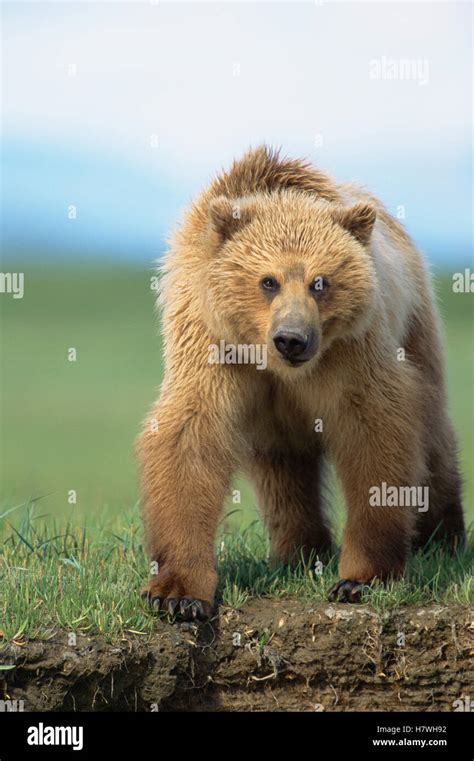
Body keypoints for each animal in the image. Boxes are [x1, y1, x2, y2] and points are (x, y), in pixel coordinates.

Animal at [136, 145, 462, 620]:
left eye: (320, 282)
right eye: (267, 281)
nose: (292, 338)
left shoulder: (352, 348)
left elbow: (375, 430)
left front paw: (358, 579)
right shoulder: (211, 339)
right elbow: (191, 433)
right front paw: (177, 593)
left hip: (415, 323)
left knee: (433, 432)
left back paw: (442, 538)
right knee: (283, 466)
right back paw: (298, 551)